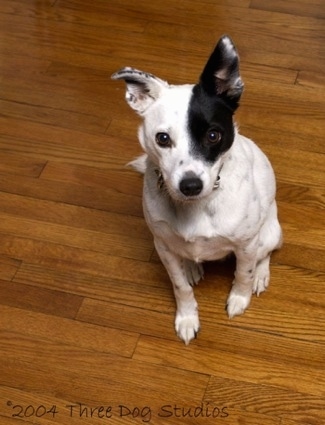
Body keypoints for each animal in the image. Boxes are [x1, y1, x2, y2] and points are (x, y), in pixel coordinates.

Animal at [112, 34, 280, 342]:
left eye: (214, 135)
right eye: (162, 138)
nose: (190, 186)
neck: (196, 207)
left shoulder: (246, 245)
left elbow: (243, 273)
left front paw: (240, 298)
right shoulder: (164, 248)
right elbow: (180, 287)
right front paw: (187, 317)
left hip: (270, 233)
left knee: (266, 253)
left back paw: (261, 275)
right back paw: (191, 266)